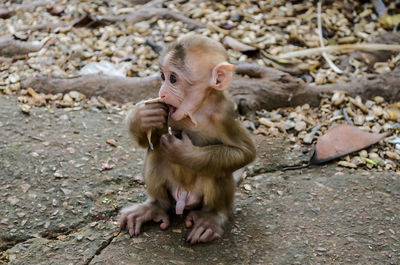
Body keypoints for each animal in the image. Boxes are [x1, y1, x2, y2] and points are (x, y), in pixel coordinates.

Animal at [119, 33, 256, 243]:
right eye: (162, 76)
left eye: (173, 78)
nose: (161, 93)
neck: (197, 110)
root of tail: (184, 197)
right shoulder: (169, 113)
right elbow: (150, 141)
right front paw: (143, 116)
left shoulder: (225, 115)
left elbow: (245, 152)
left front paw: (184, 153)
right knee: (157, 151)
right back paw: (154, 207)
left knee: (218, 170)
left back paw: (212, 217)